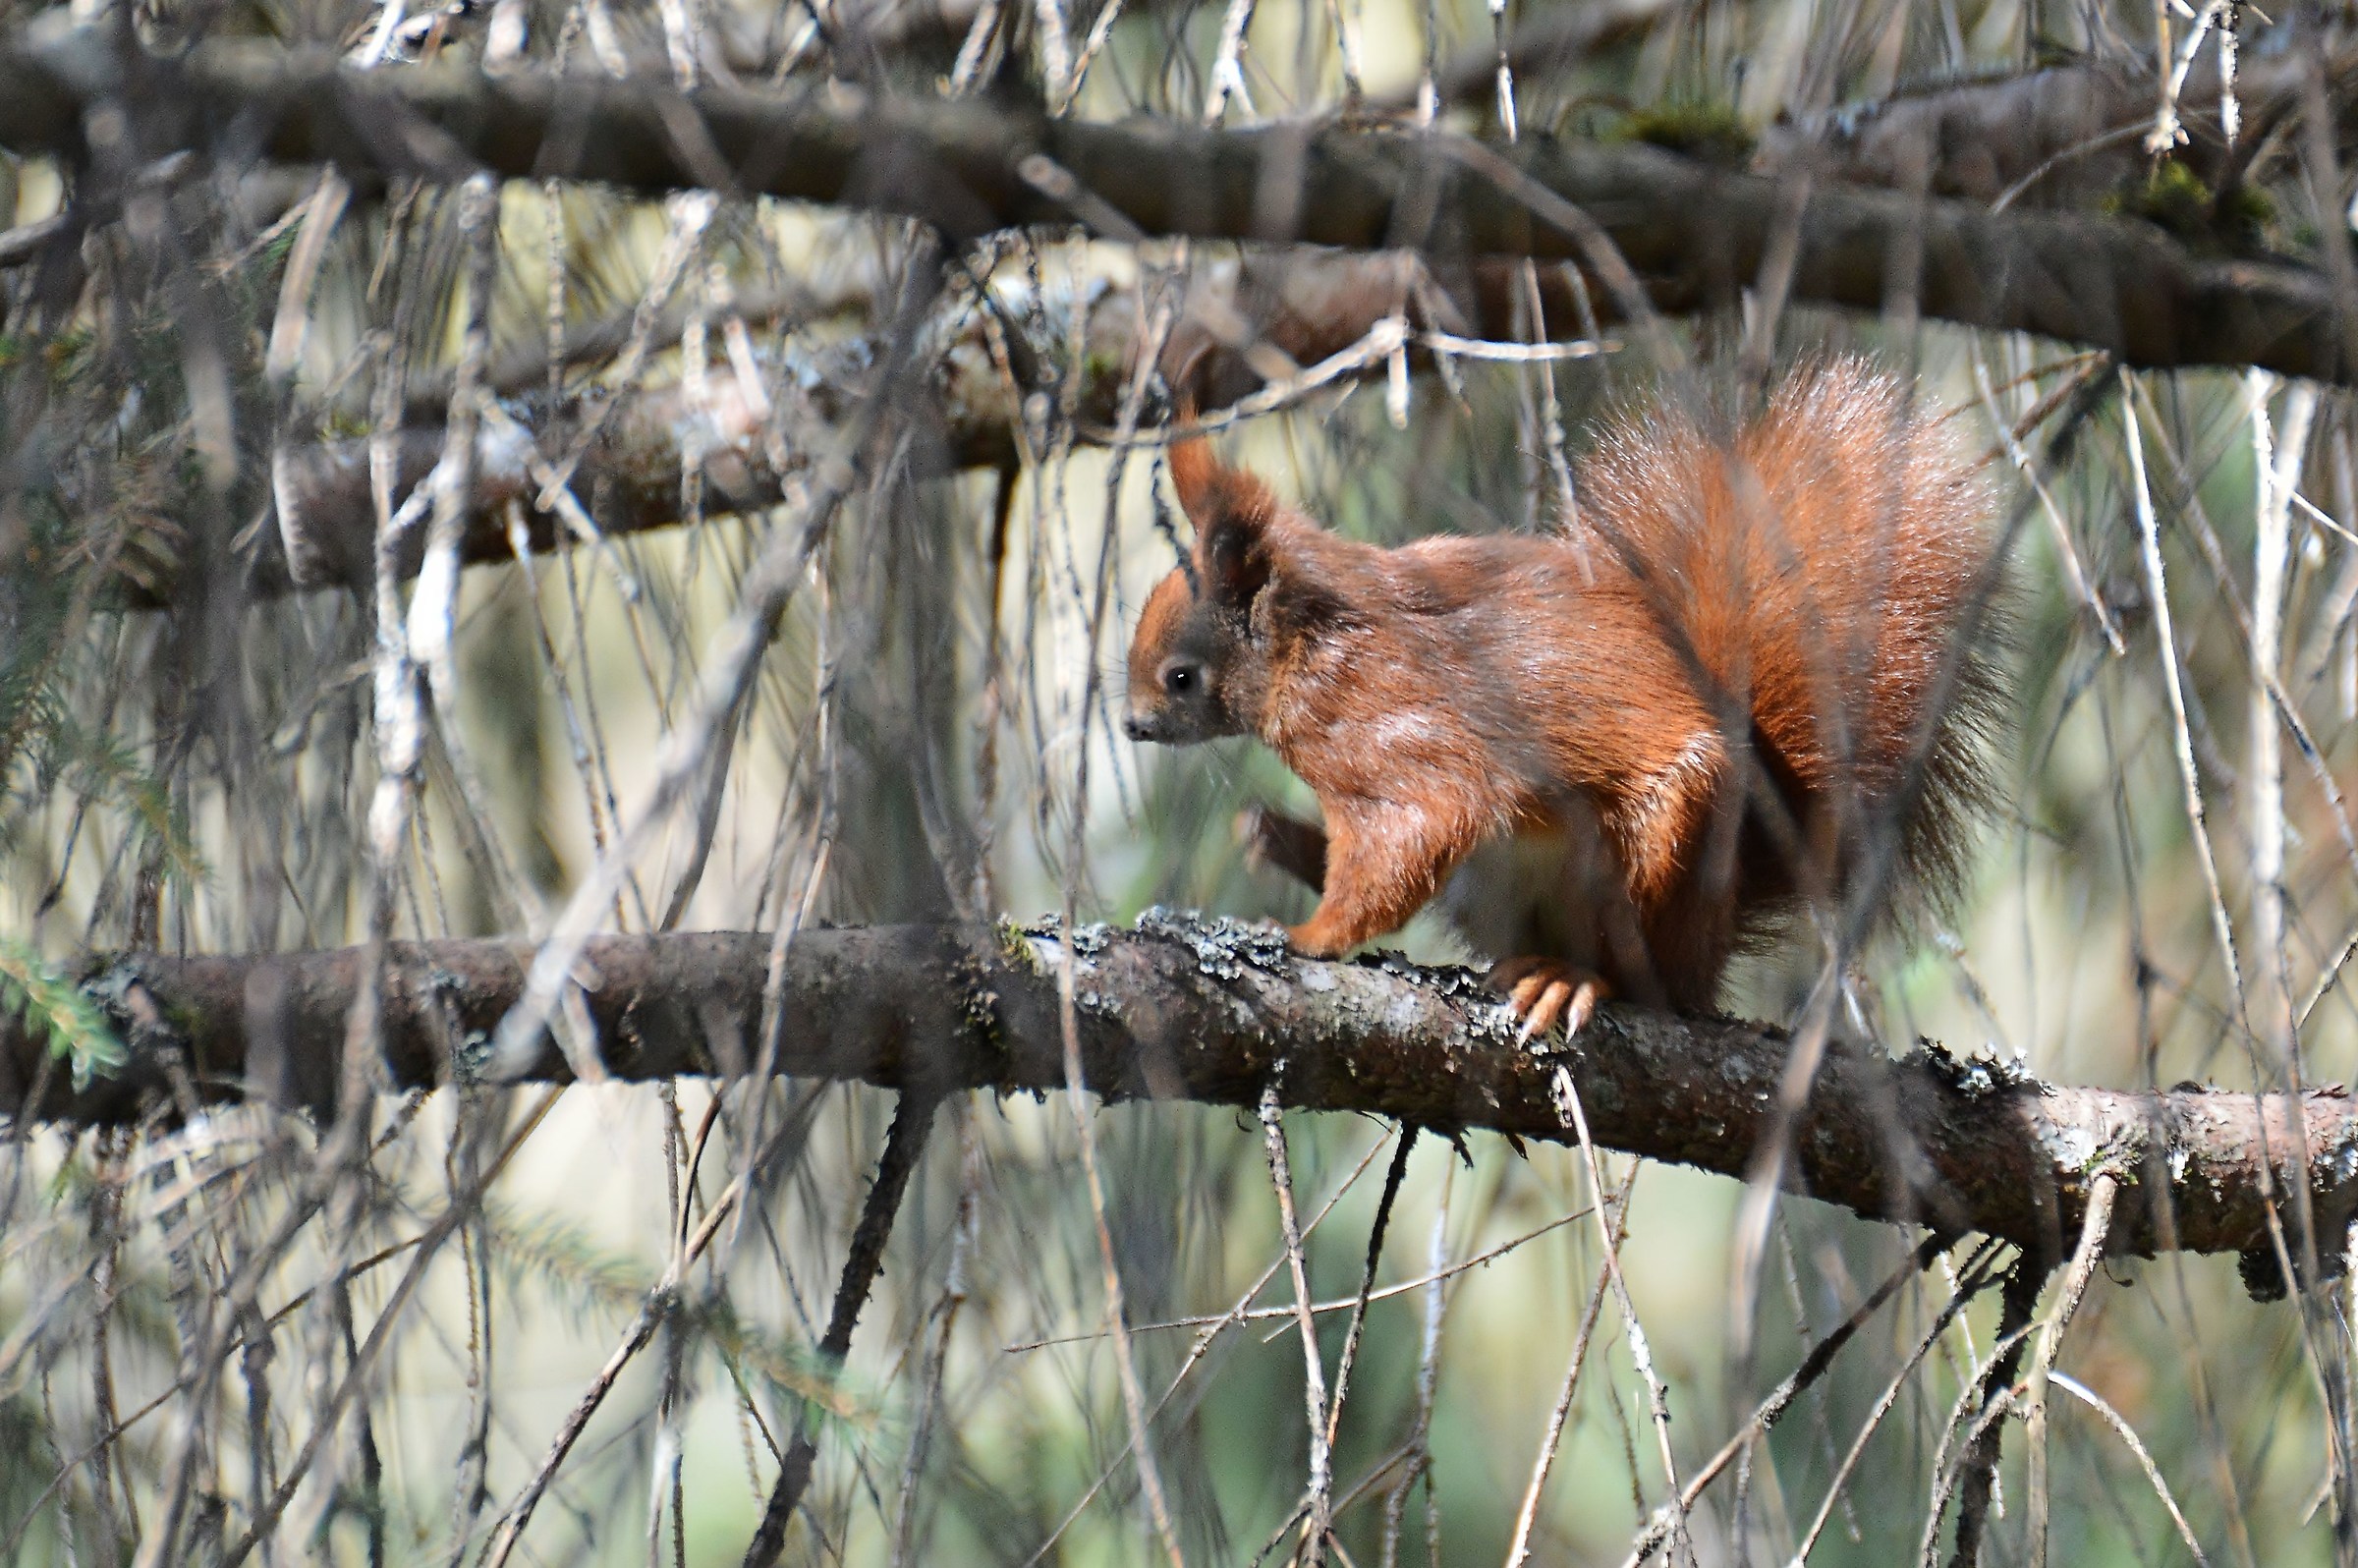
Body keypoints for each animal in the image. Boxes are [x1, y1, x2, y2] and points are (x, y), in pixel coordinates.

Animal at [1121, 357, 2005, 1037]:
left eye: (1180, 677)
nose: (1130, 727)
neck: (1308, 644)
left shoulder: (1395, 736)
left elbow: (1411, 836)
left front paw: (1307, 934)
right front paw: (1272, 836)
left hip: (1662, 853)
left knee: (1650, 985)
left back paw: (1576, 979)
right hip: (1500, 886)